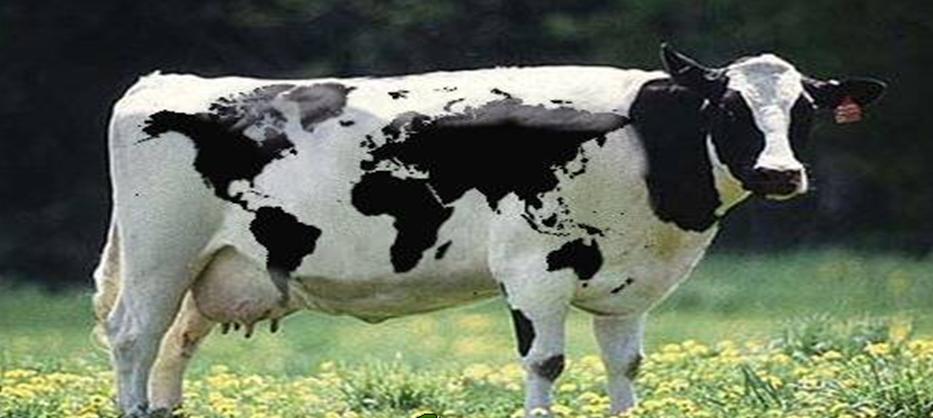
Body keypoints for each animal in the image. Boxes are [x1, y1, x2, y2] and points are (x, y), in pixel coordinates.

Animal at [92, 44, 885, 417]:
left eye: (804, 112)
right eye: (726, 108)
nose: (780, 174)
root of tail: (165, 82)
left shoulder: (628, 285)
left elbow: (625, 367)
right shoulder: (535, 269)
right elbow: (547, 364)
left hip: (213, 269)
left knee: (173, 347)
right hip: (160, 256)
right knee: (134, 338)